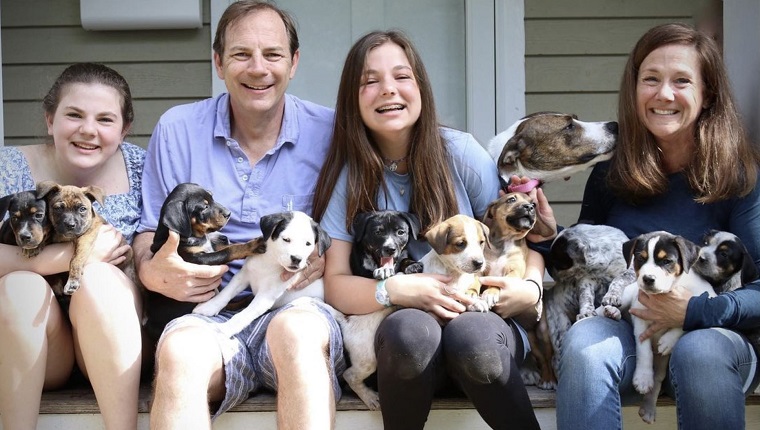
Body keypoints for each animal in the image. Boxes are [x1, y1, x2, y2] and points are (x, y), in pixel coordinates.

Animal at [193, 211, 330, 336]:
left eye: (308, 244)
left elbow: (243, 315)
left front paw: (224, 329)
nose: (297, 259)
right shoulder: (242, 276)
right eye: (286, 239)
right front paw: (209, 307)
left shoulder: (265, 297)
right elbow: (225, 294)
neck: (270, 261)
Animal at [596, 232, 716, 424]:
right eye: (640, 258)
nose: (648, 279)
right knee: (605, 309)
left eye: (667, 261)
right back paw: (610, 311)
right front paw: (643, 378)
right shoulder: (639, 314)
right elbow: (644, 349)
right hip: (629, 294)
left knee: (658, 378)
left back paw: (648, 408)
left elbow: (687, 317)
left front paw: (668, 340)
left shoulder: (706, 300)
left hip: (662, 363)